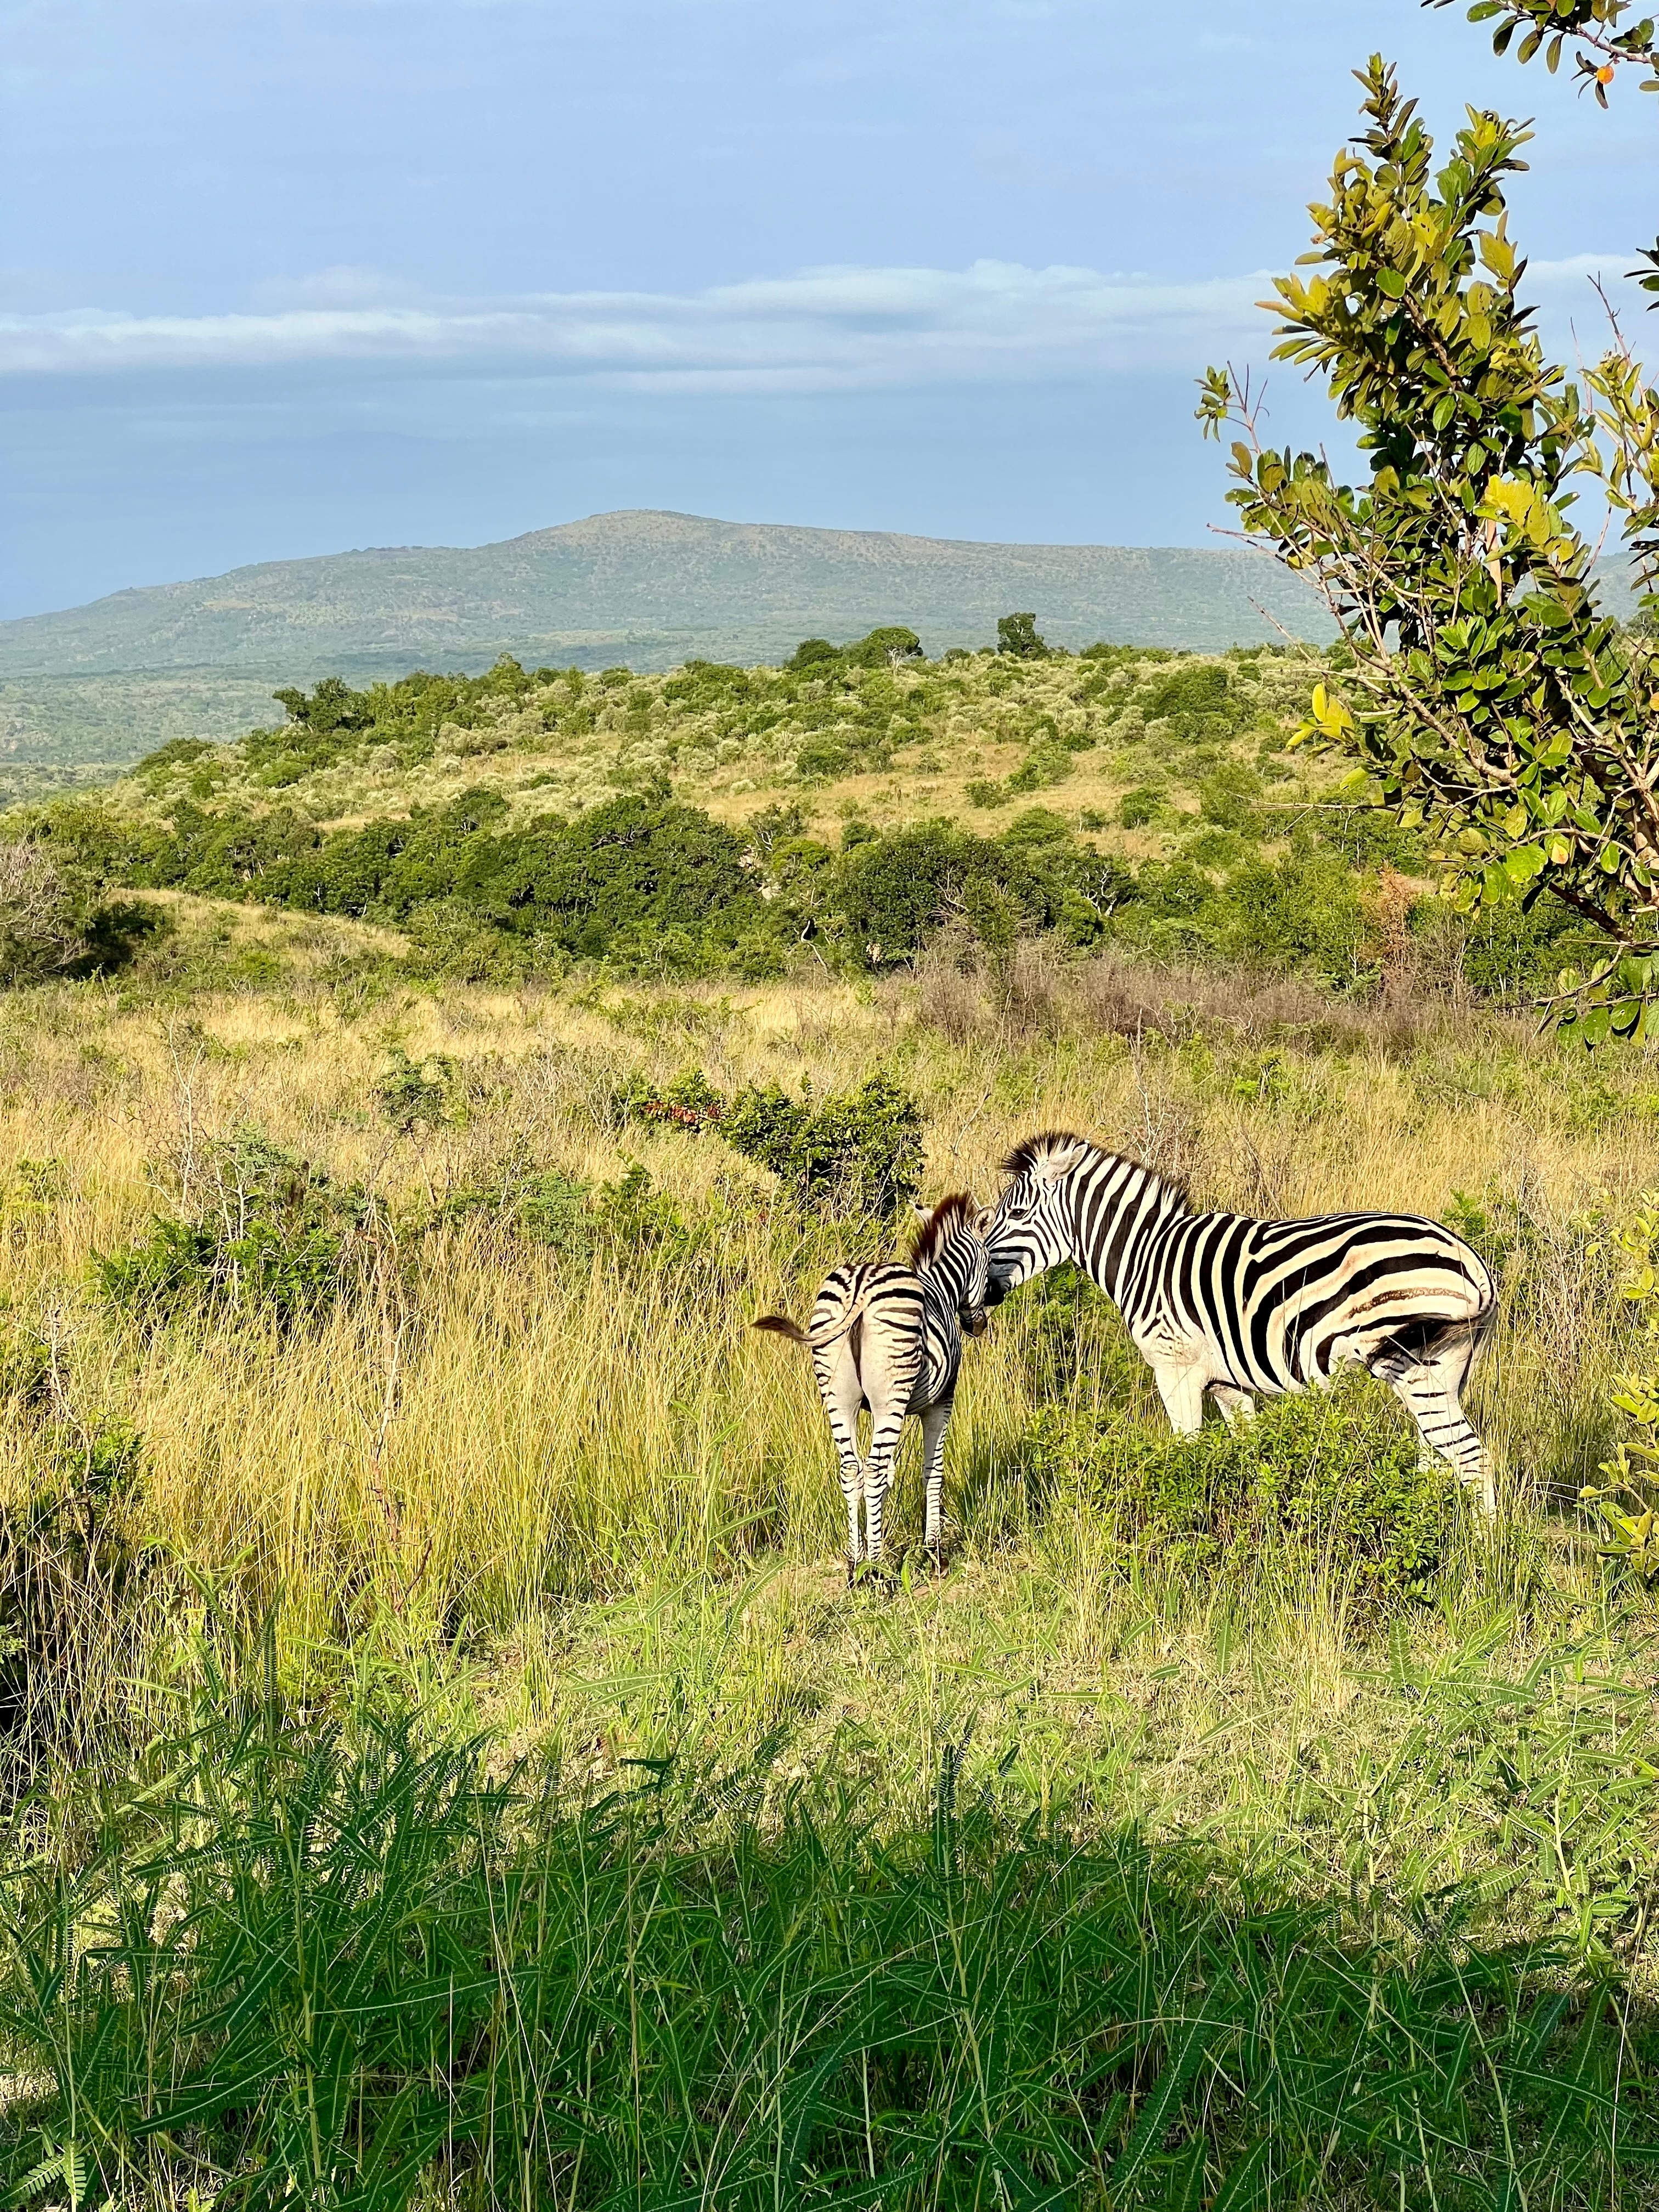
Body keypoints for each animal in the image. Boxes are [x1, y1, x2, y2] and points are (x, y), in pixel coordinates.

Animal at [753, 1192, 992, 1576]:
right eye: (987, 1264)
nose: (978, 1325)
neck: (940, 1287)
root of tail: (859, 1288)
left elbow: (889, 1475)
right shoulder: (941, 1400)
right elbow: (932, 1470)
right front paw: (933, 1551)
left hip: (837, 1395)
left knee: (852, 1469)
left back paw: (855, 1563)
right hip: (890, 1397)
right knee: (875, 1468)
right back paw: (877, 1567)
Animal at [982, 1133, 1499, 1515]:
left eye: (1017, 1214)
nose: (981, 1290)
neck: (1145, 1255)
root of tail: (1469, 1258)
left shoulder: (1175, 1368)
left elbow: (1188, 1451)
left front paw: (1188, 1524)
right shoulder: (1226, 1382)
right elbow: (1246, 1454)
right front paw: (1255, 1523)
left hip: (1415, 1367)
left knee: (1472, 1459)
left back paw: (1482, 1557)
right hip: (1447, 1370)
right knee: (1439, 1458)